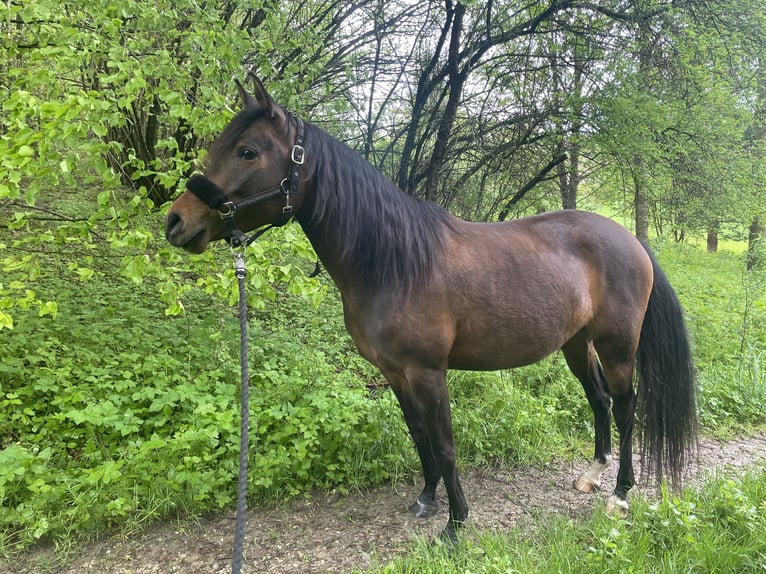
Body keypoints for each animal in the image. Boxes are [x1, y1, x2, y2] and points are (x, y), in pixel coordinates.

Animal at [165, 74, 700, 548]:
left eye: (247, 151)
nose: (176, 222)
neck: (394, 262)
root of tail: (630, 239)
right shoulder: (395, 373)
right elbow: (419, 435)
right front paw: (426, 499)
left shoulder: (428, 372)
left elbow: (444, 444)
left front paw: (456, 525)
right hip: (575, 343)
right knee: (600, 400)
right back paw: (593, 474)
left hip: (617, 347)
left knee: (627, 406)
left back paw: (621, 494)